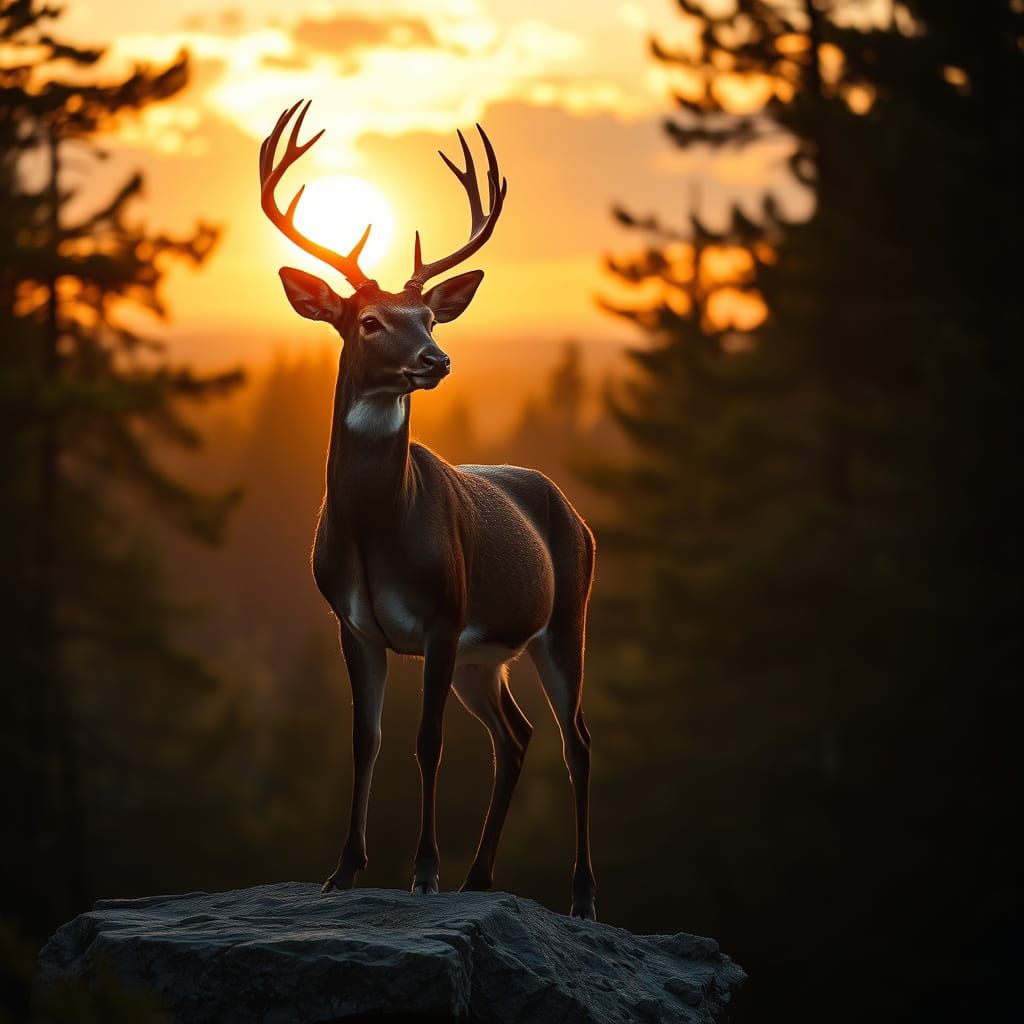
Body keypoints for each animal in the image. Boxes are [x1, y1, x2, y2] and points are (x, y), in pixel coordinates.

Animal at [258, 100, 597, 919]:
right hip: (487, 656)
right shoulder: (353, 622)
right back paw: (481, 877)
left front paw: (423, 870)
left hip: (563, 618)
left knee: (575, 739)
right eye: (370, 321)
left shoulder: (444, 612)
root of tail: (577, 515)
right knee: (516, 736)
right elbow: (366, 738)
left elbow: (427, 741)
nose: (435, 360)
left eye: (431, 318)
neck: (376, 532)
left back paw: (580, 895)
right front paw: (343, 870)